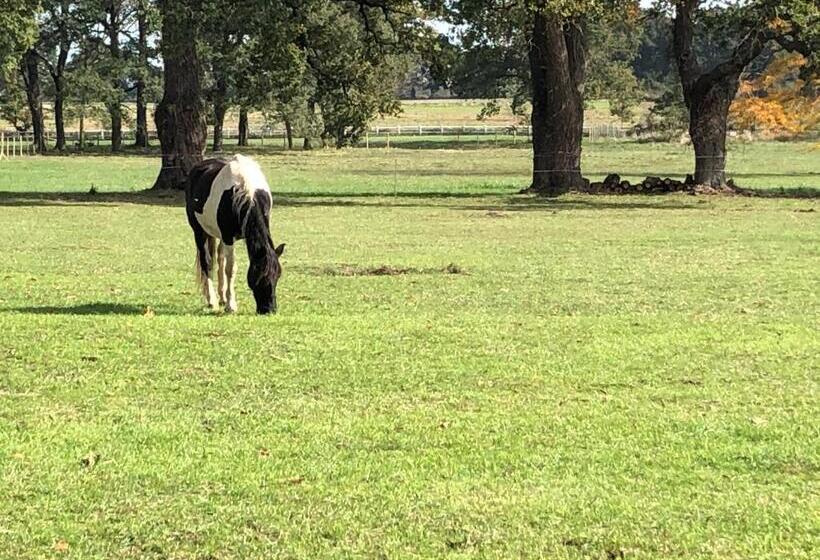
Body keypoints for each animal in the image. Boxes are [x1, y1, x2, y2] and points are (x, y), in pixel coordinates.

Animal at [185, 155, 286, 312]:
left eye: (278, 275)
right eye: (258, 276)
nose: (268, 309)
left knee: (220, 257)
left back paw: (222, 297)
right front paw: (231, 305)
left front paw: (227, 300)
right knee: (206, 261)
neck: (247, 194)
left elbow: (225, 264)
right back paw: (212, 300)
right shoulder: (228, 237)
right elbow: (230, 269)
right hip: (199, 231)